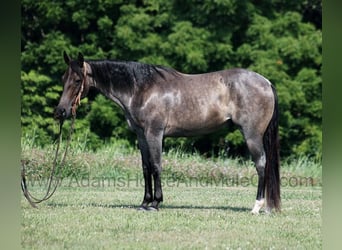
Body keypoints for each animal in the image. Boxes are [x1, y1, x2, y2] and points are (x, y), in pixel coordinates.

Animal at [55, 51, 280, 214]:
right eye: (63, 77)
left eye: (77, 80)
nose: (60, 112)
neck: (141, 89)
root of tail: (267, 82)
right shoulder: (141, 136)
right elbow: (146, 167)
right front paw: (144, 203)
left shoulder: (154, 133)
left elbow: (156, 166)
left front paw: (156, 203)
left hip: (252, 136)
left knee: (261, 165)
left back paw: (257, 207)